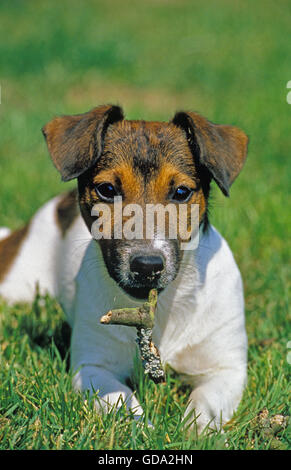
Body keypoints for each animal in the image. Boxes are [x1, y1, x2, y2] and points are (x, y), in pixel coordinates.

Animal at [0, 103, 250, 434]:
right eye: (107, 189)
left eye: (181, 193)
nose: (147, 266)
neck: (164, 307)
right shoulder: (94, 368)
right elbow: (121, 399)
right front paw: (144, 431)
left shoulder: (225, 369)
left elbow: (205, 404)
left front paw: (199, 435)